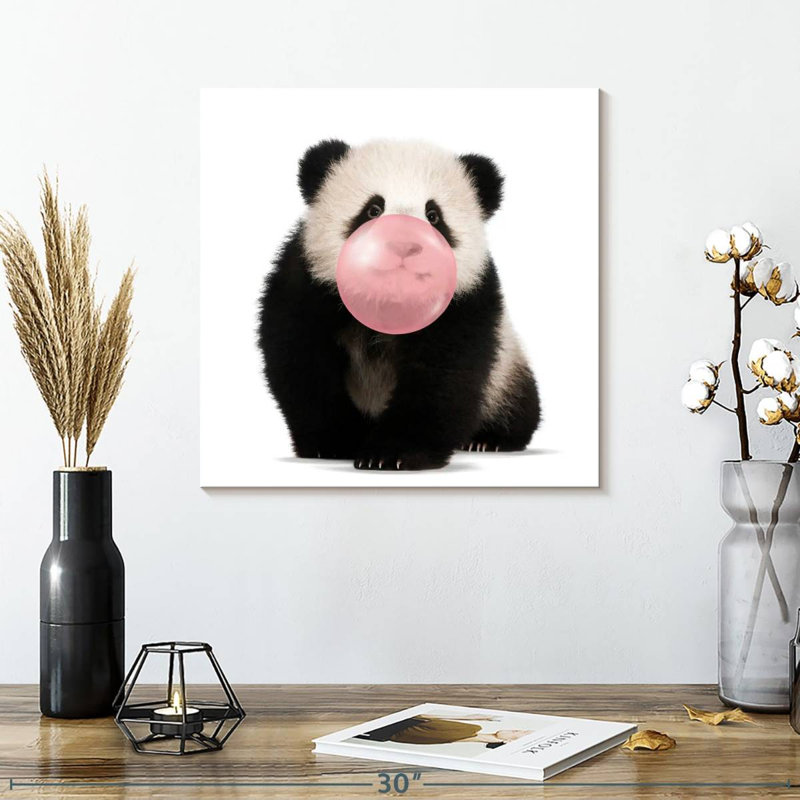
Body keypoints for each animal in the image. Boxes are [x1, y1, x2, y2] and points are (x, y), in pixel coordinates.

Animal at [258, 139, 540, 470]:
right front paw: (336, 443)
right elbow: (303, 363)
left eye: (434, 215)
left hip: (505, 372)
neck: (389, 302)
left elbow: (442, 376)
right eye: (372, 209)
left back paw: (489, 439)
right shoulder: (307, 286)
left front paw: (394, 454)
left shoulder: (465, 304)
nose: (403, 243)